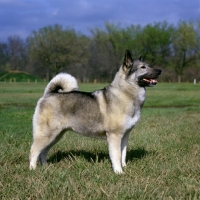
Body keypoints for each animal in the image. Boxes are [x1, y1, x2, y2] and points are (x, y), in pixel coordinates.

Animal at [29, 49, 161, 173]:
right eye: (143, 67)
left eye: (148, 65)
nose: (160, 70)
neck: (125, 93)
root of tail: (48, 94)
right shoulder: (114, 135)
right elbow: (117, 155)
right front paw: (118, 171)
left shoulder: (125, 135)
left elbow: (123, 154)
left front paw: (124, 167)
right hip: (47, 134)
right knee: (34, 150)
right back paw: (32, 169)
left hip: (56, 135)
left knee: (43, 151)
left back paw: (46, 167)